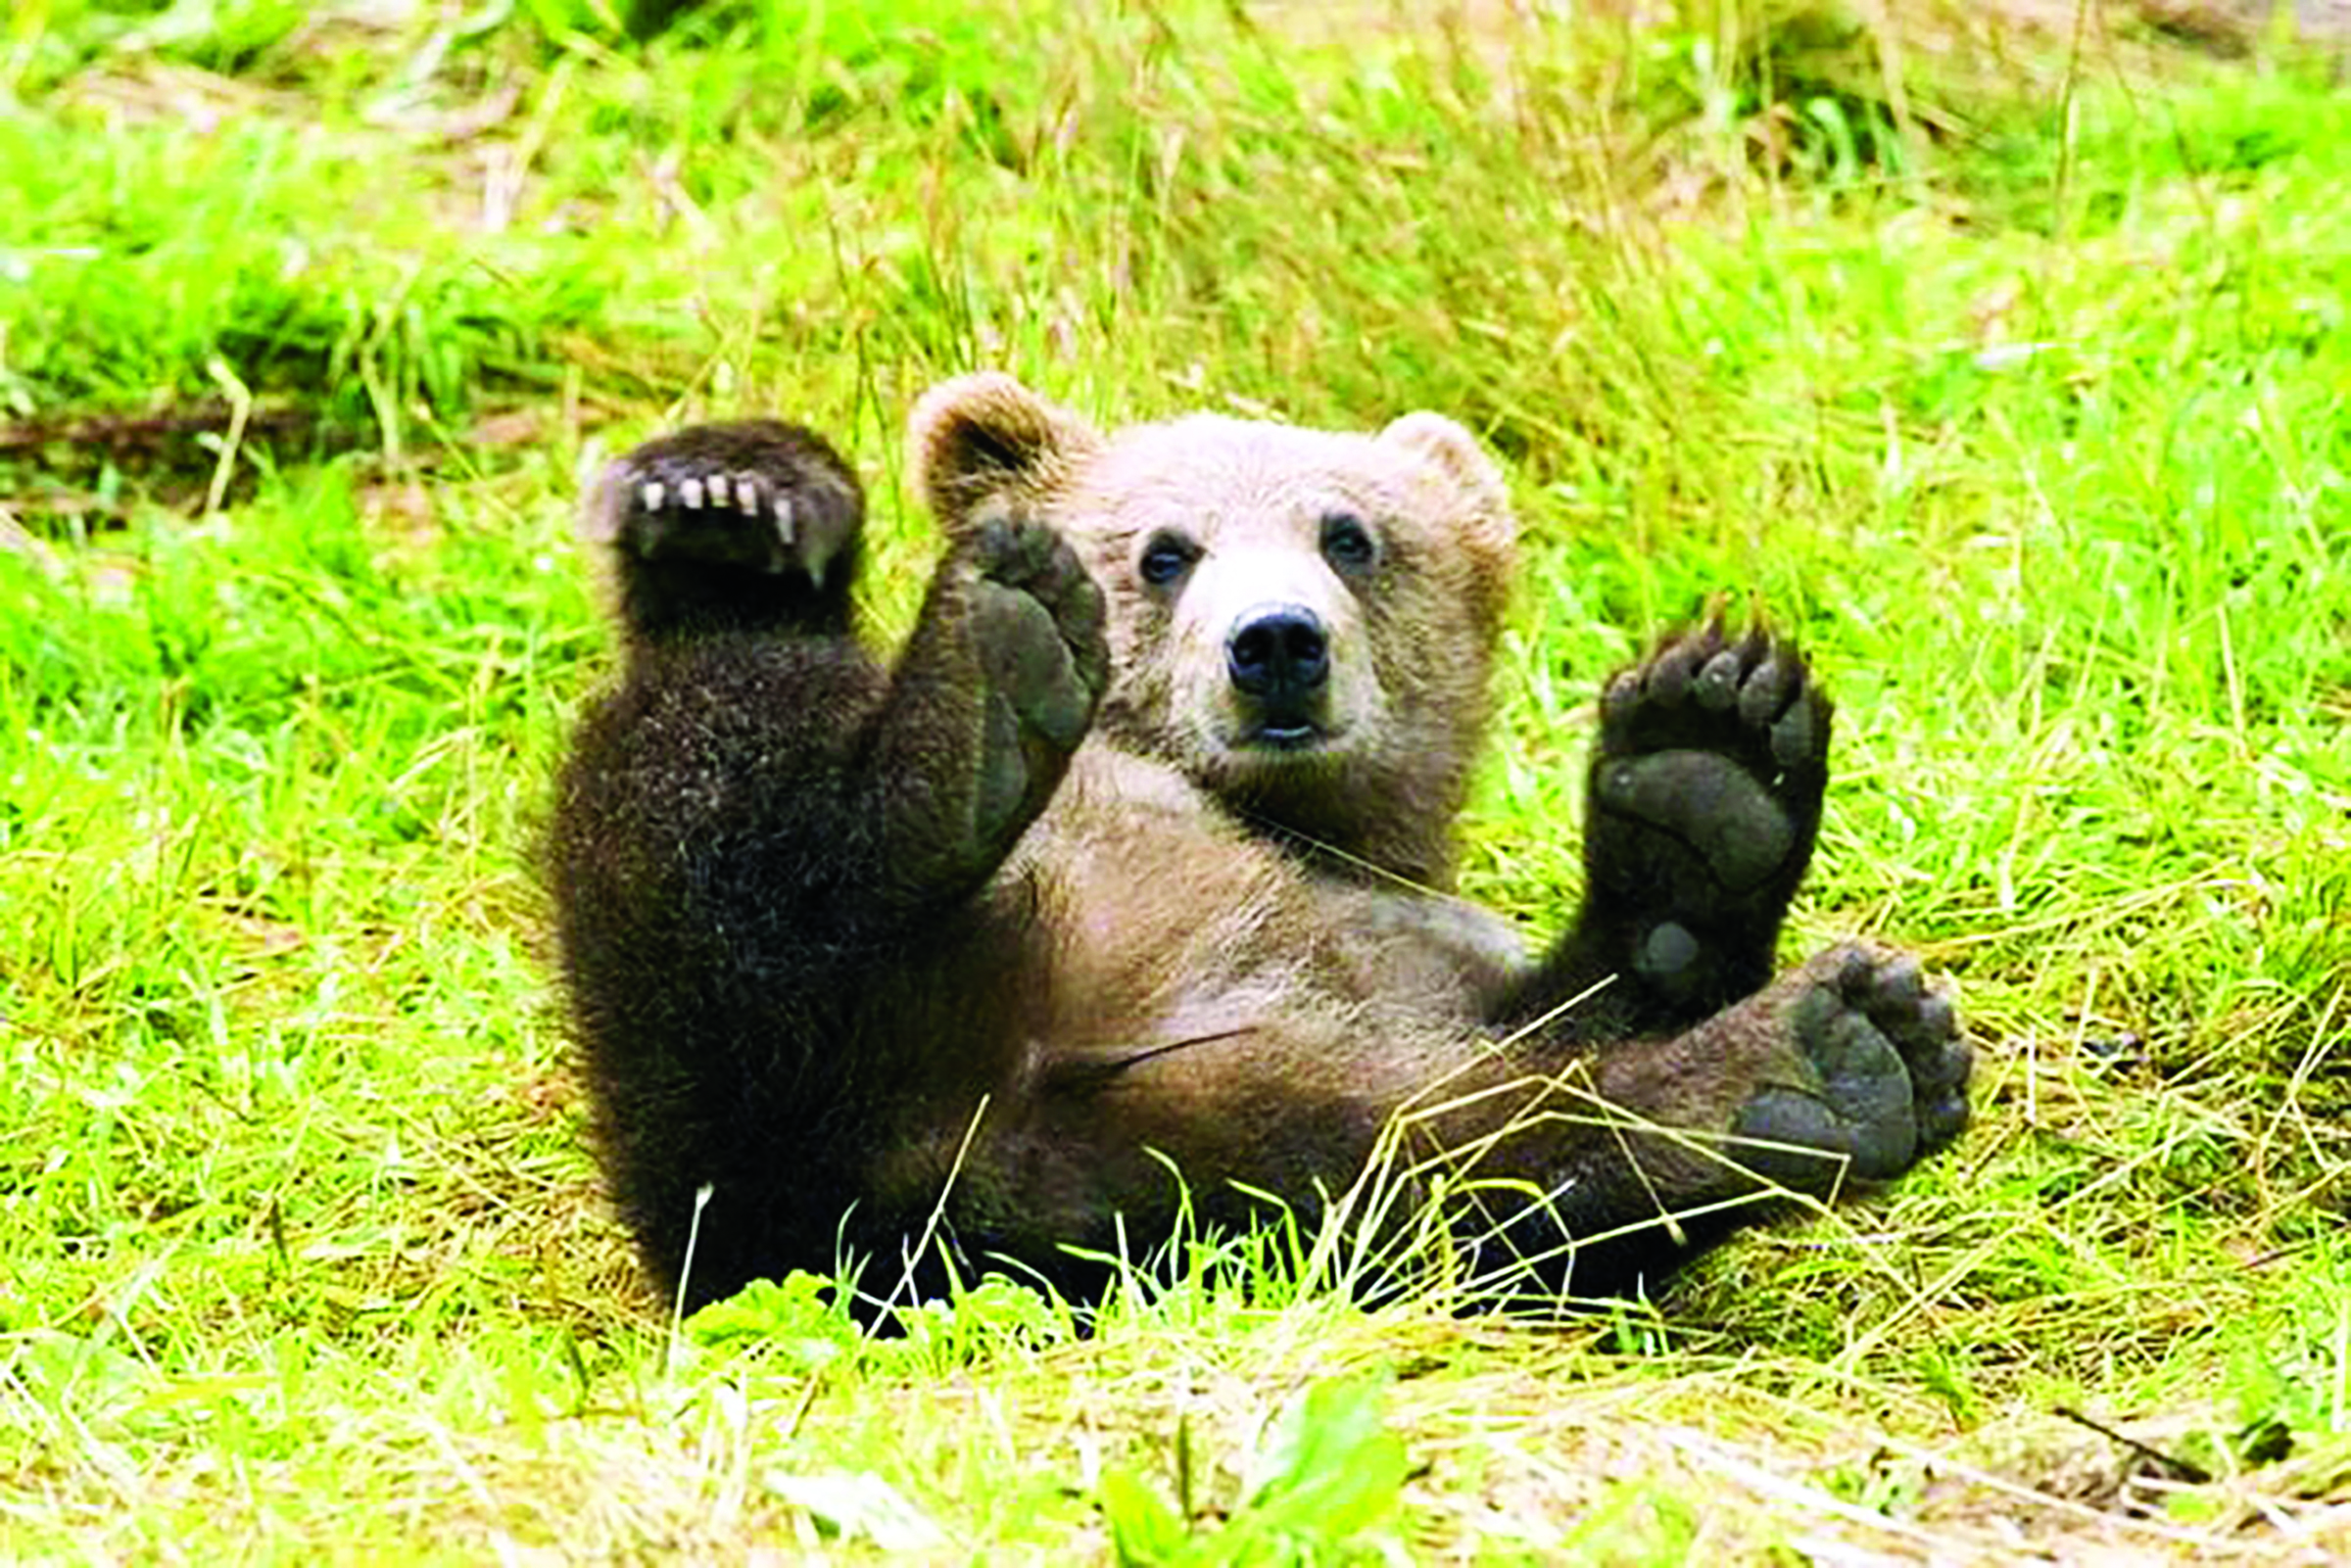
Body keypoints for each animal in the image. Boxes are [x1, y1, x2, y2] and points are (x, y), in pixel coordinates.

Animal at [547, 374, 1970, 1314]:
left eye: (1351, 534)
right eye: (1165, 550)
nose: (1277, 641)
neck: (1288, 819)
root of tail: (940, 1143)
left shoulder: (1411, 951)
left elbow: (1568, 1032)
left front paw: (1708, 762)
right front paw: (728, 489)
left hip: (1185, 1162)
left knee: (1447, 1169)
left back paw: (1816, 1058)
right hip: (736, 1082)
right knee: (718, 787)